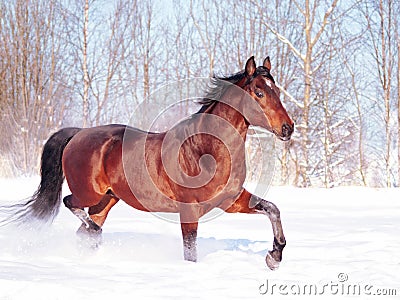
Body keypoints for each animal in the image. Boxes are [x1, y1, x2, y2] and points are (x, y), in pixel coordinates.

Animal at [3, 55, 294, 270]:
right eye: (259, 92)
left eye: (277, 91)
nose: (288, 128)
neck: (204, 150)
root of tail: (78, 133)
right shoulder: (189, 212)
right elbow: (190, 252)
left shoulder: (231, 200)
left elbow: (272, 209)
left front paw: (274, 256)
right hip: (89, 193)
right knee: (71, 205)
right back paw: (94, 235)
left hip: (106, 200)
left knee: (84, 231)